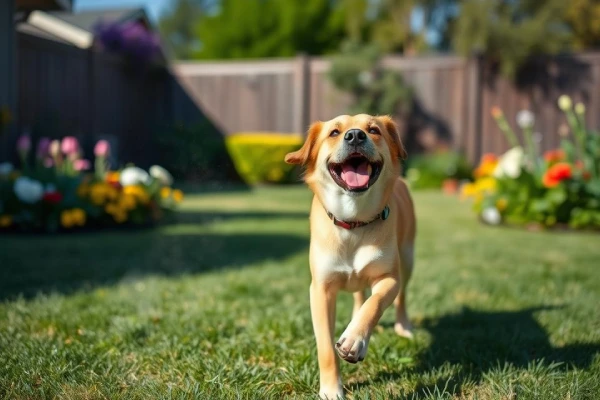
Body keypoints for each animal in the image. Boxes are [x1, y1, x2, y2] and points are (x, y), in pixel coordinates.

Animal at [284, 114, 414, 398]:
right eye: (334, 132)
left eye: (374, 129)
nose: (355, 135)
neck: (354, 222)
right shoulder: (320, 290)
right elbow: (325, 347)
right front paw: (331, 389)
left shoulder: (389, 278)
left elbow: (375, 303)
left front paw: (355, 339)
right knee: (358, 296)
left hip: (408, 259)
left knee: (401, 297)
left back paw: (403, 326)